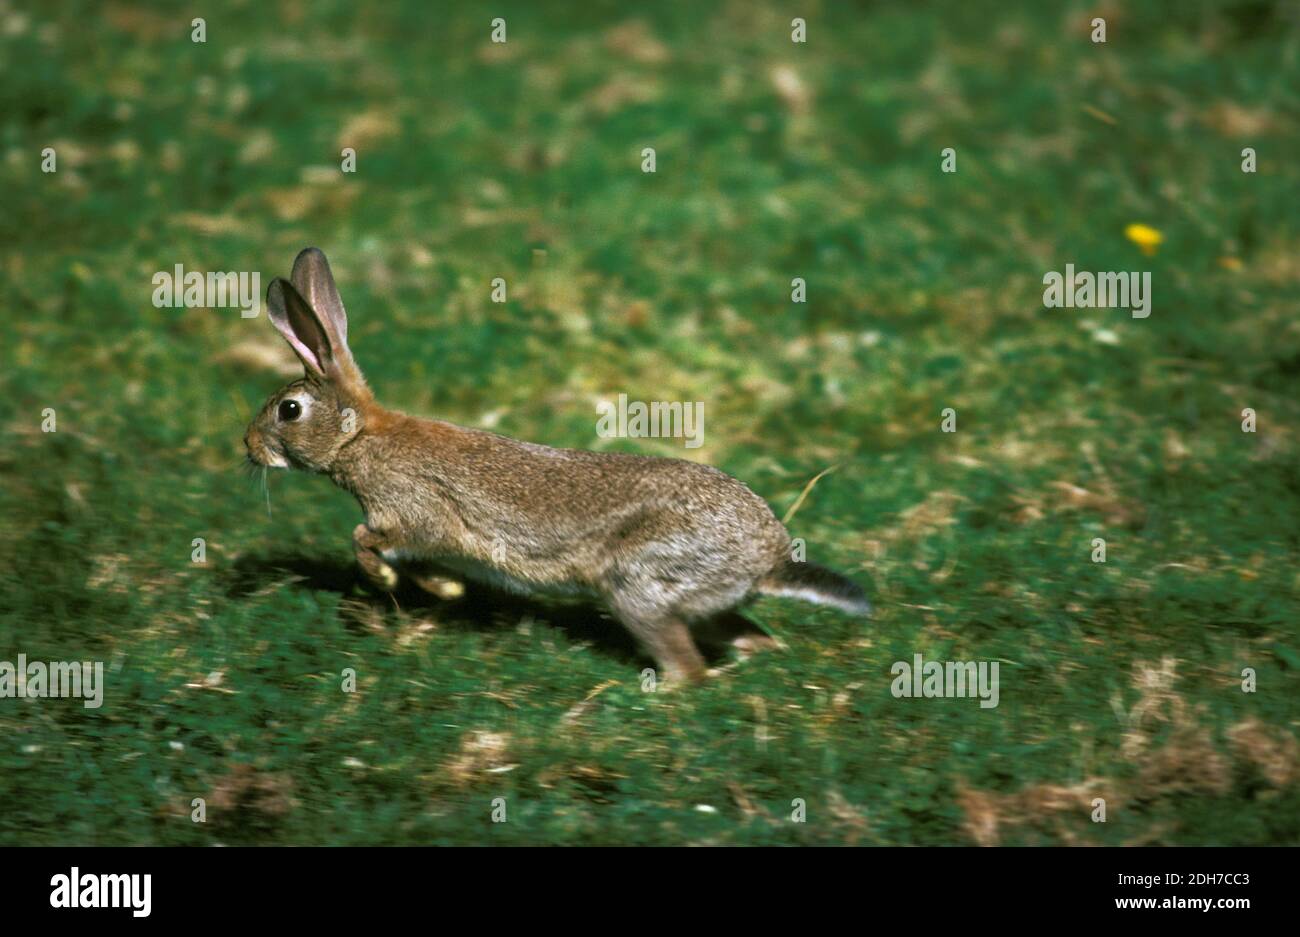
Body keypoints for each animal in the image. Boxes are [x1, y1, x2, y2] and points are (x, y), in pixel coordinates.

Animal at [244, 247, 871, 684]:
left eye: (288, 410)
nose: (247, 446)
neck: (357, 439)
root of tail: (769, 560)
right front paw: (445, 589)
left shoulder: (414, 515)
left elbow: (366, 539)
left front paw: (389, 580)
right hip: (702, 602)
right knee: (750, 640)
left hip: (641, 586)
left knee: (687, 665)